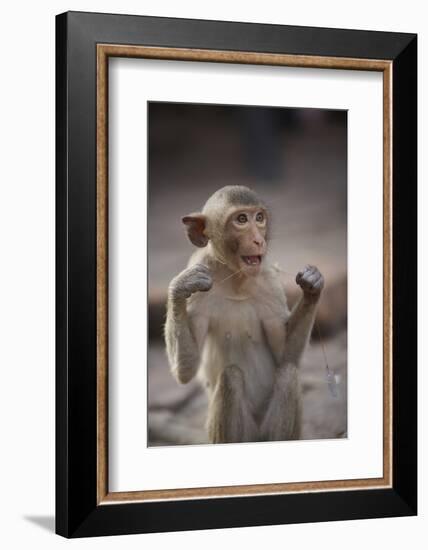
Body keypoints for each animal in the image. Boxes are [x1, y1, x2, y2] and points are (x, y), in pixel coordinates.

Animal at [165, 185, 324, 444]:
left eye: (259, 218)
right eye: (241, 220)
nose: (258, 240)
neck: (236, 279)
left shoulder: (270, 281)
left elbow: (285, 355)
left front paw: (313, 286)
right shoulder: (199, 277)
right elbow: (185, 372)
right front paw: (179, 288)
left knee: (288, 373)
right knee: (231, 377)